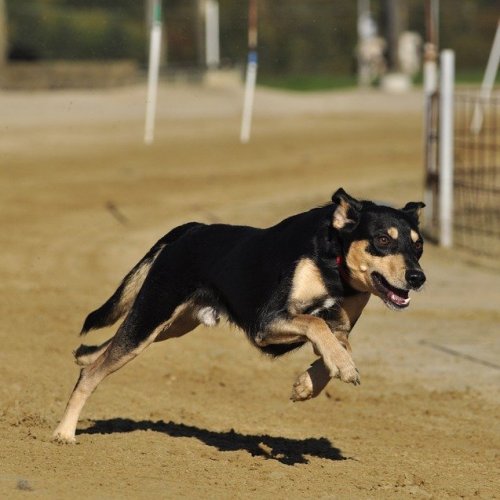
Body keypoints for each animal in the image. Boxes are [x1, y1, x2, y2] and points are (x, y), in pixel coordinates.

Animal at [51, 189, 426, 444]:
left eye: (419, 245)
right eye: (382, 240)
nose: (418, 278)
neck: (333, 265)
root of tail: (192, 228)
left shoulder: (339, 325)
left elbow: (337, 343)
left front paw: (308, 384)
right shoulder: (266, 322)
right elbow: (316, 324)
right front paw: (343, 369)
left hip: (171, 324)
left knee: (100, 354)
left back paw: (83, 356)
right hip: (152, 315)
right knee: (93, 373)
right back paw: (64, 432)